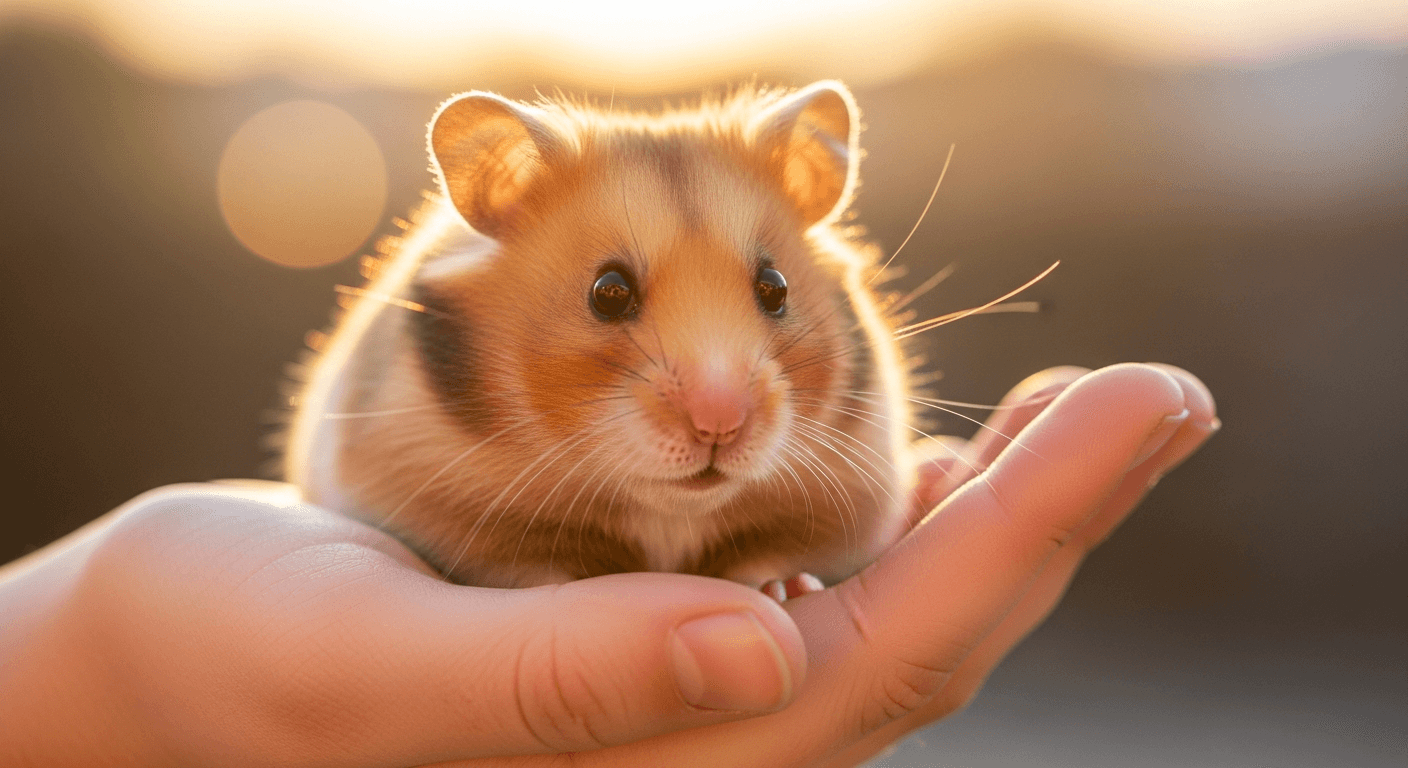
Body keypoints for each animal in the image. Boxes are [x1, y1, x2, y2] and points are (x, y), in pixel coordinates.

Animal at [284, 81, 919, 590]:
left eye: (776, 287)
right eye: (608, 291)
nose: (719, 424)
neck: (668, 511)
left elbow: (773, 556)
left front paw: (785, 589)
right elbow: (528, 565)